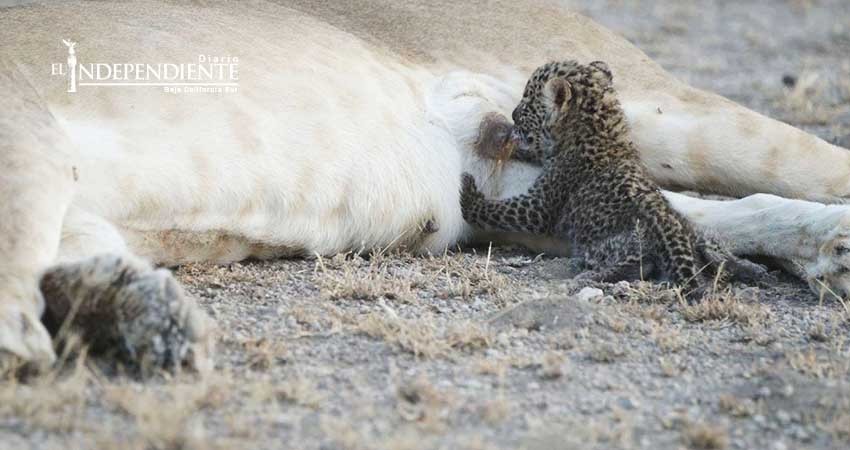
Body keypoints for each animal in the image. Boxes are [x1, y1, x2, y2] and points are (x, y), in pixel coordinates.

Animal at [460, 60, 765, 296]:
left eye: (527, 100)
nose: (512, 113)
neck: (601, 130)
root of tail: (673, 232)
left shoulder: (542, 205)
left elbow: (503, 210)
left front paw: (468, 191)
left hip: (612, 245)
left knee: (637, 264)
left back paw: (586, 277)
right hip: (700, 236)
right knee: (717, 253)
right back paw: (751, 269)